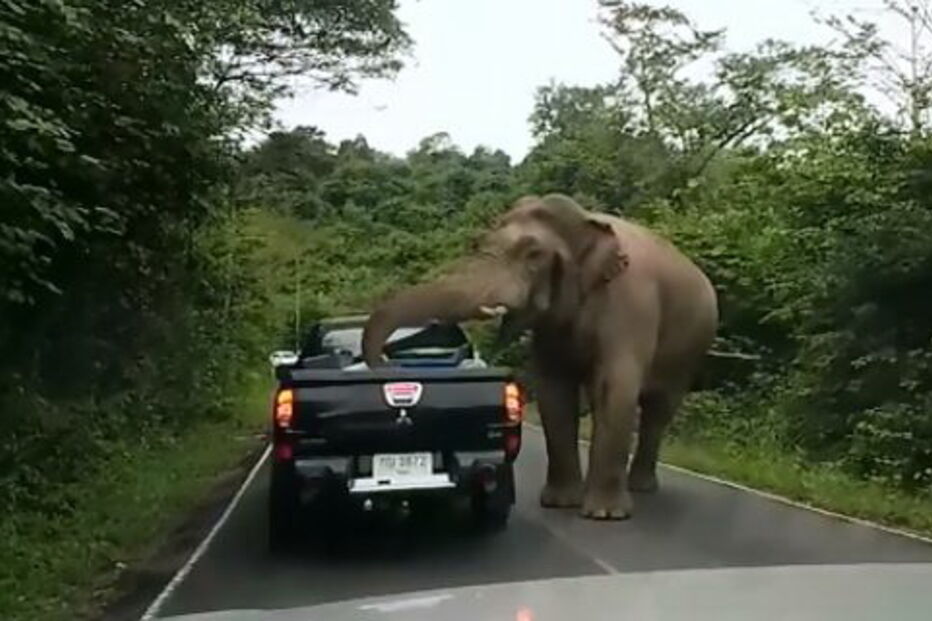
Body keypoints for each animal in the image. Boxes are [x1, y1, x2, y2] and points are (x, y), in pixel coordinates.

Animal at [361, 194, 718, 520]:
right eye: (478, 243)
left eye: (533, 255)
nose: (385, 368)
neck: (583, 222)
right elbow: (553, 391)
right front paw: (560, 504)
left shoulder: (630, 305)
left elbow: (614, 388)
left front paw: (604, 514)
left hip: (690, 348)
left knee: (659, 410)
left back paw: (641, 488)